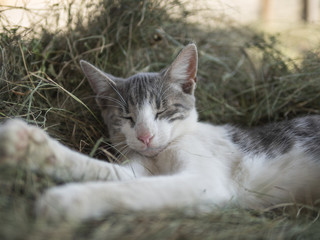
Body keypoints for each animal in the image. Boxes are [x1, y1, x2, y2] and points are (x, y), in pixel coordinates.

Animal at [0, 43, 320, 221]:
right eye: (126, 116)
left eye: (162, 111)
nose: (145, 137)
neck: (161, 154)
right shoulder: (137, 167)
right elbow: (108, 172)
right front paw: (30, 148)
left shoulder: (205, 182)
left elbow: (134, 190)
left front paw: (69, 199)